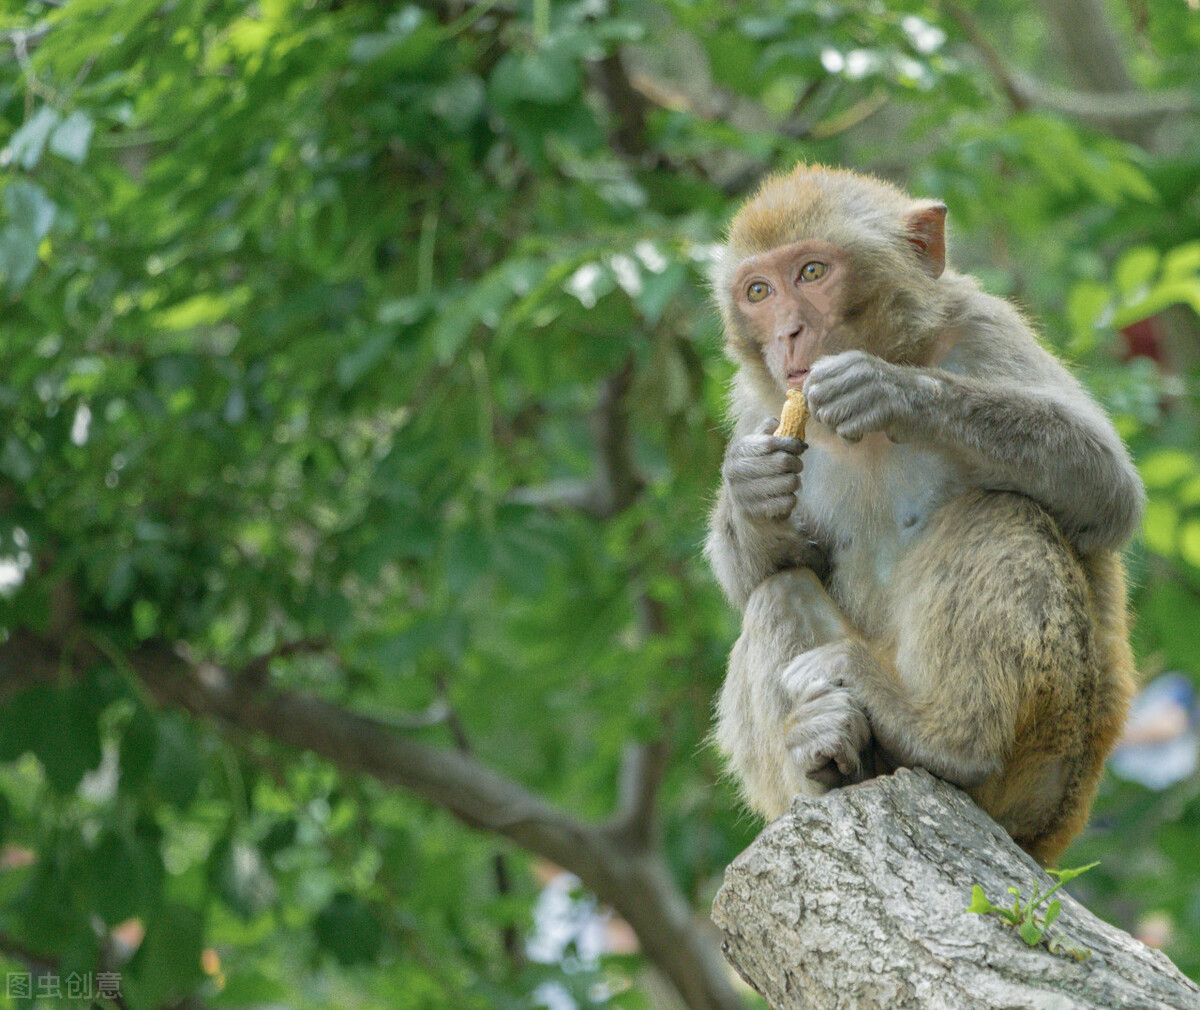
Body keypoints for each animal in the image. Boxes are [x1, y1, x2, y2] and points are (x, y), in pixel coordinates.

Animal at [700, 161, 1142, 863]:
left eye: (812, 273)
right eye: (759, 291)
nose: (787, 334)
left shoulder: (985, 327)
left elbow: (1107, 487)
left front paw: (892, 390)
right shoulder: (761, 405)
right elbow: (761, 575)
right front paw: (749, 485)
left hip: (1048, 766)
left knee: (997, 514)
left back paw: (948, 743)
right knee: (779, 591)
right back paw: (828, 755)